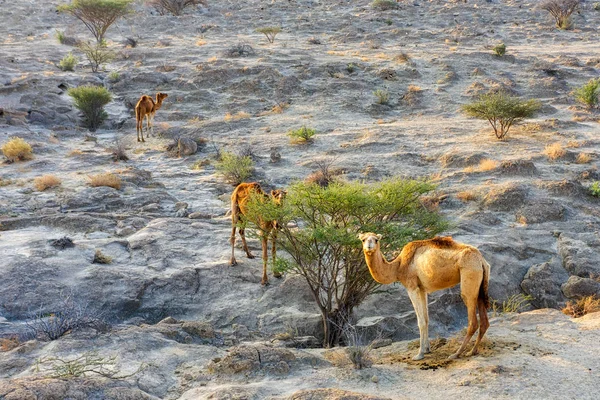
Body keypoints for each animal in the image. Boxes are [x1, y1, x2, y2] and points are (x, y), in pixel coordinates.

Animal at [358, 231, 490, 360]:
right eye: (363, 239)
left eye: (376, 240)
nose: (369, 246)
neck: (398, 266)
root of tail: (481, 260)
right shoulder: (422, 289)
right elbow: (426, 319)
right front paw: (427, 349)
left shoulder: (412, 287)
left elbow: (420, 321)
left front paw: (419, 354)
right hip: (480, 286)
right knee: (484, 321)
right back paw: (472, 351)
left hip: (469, 276)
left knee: (473, 321)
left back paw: (456, 354)